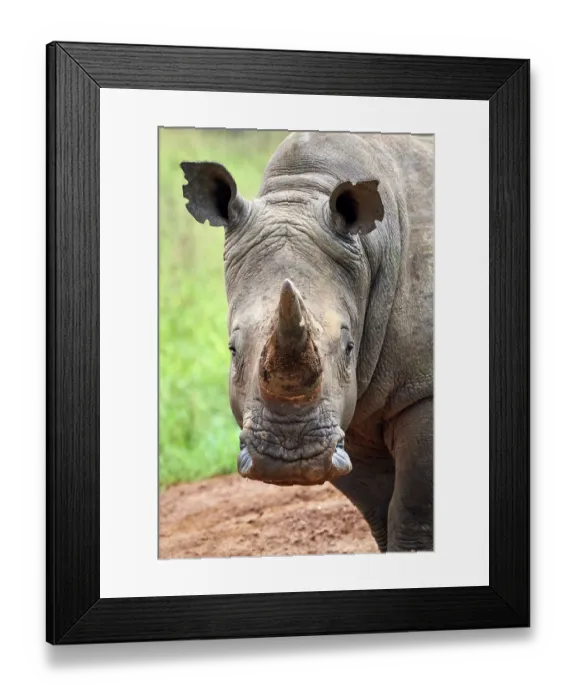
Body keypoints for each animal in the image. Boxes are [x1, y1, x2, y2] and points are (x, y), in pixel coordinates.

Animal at [181, 131, 433, 553]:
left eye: (349, 348)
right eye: (232, 350)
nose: (289, 458)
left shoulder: (422, 389)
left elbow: (414, 513)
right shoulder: (346, 412)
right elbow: (381, 508)